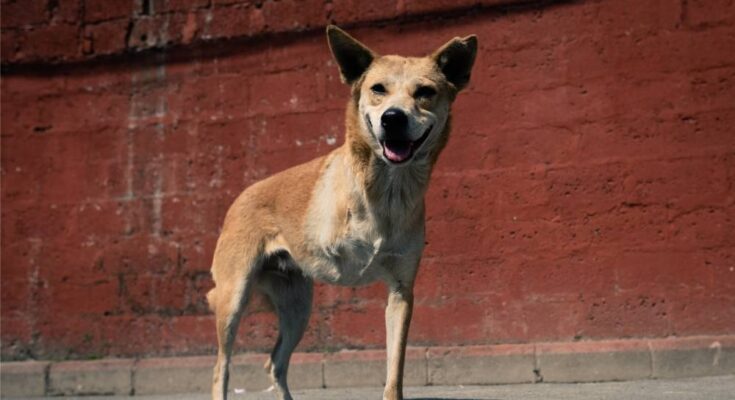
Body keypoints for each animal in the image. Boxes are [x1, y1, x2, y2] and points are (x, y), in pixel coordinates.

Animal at [207, 25, 478, 400]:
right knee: (222, 368)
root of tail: (238, 198)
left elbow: (394, 372)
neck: (387, 190)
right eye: (377, 89)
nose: (393, 118)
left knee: (275, 363)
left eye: (425, 92)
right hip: (234, 299)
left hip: (297, 307)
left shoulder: (400, 293)